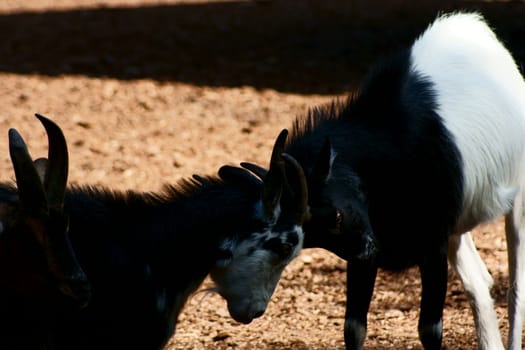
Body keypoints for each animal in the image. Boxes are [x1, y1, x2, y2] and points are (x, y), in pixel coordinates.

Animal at [235, 12, 524, 350]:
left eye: (336, 214)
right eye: (307, 234)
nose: (371, 249)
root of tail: (474, 26)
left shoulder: (431, 245)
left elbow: (430, 330)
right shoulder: (368, 247)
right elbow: (353, 328)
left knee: (516, 287)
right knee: (478, 279)